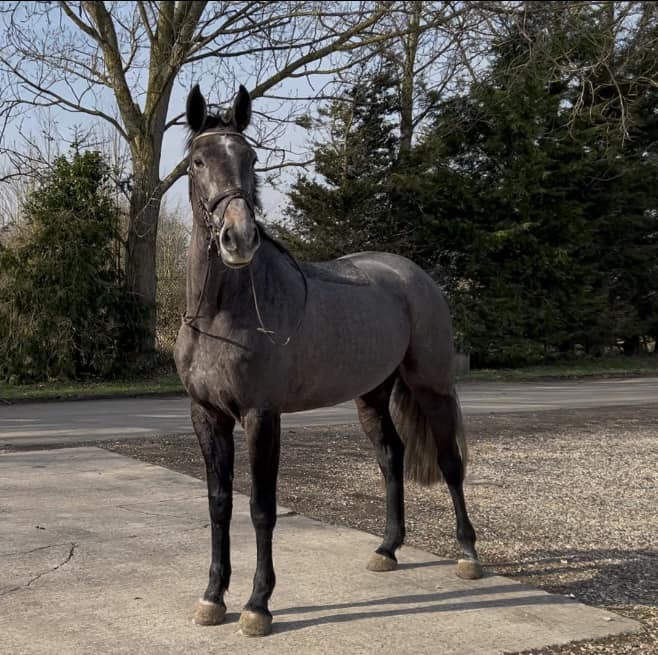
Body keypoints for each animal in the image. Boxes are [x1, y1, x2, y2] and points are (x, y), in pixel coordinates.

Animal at [174, 84, 482, 637]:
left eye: (250, 159)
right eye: (198, 160)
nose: (239, 239)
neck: (222, 314)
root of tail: (414, 276)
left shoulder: (261, 416)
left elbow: (261, 507)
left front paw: (258, 605)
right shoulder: (206, 416)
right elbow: (218, 504)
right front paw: (212, 597)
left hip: (431, 386)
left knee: (450, 462)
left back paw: (468, 554)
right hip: (371, 396)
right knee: (391, 458)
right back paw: (387, 549)